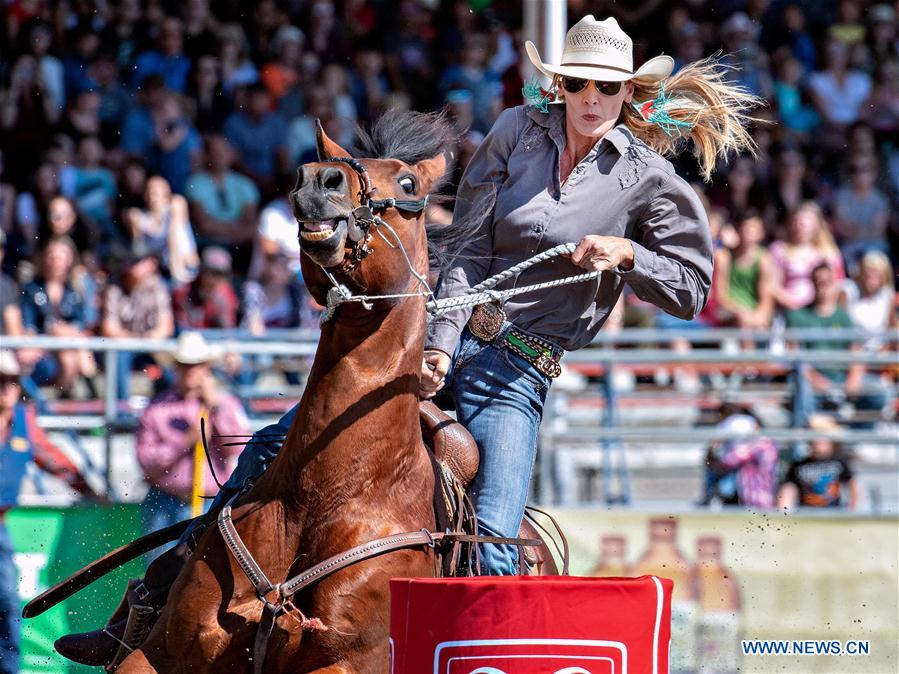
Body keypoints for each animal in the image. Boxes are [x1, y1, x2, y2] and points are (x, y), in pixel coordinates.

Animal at [112, 113, 492, 668]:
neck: (327, 495)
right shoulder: (162, 652)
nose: (317, 180)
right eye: (332, 161)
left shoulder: (349, 660)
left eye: (408, 184)